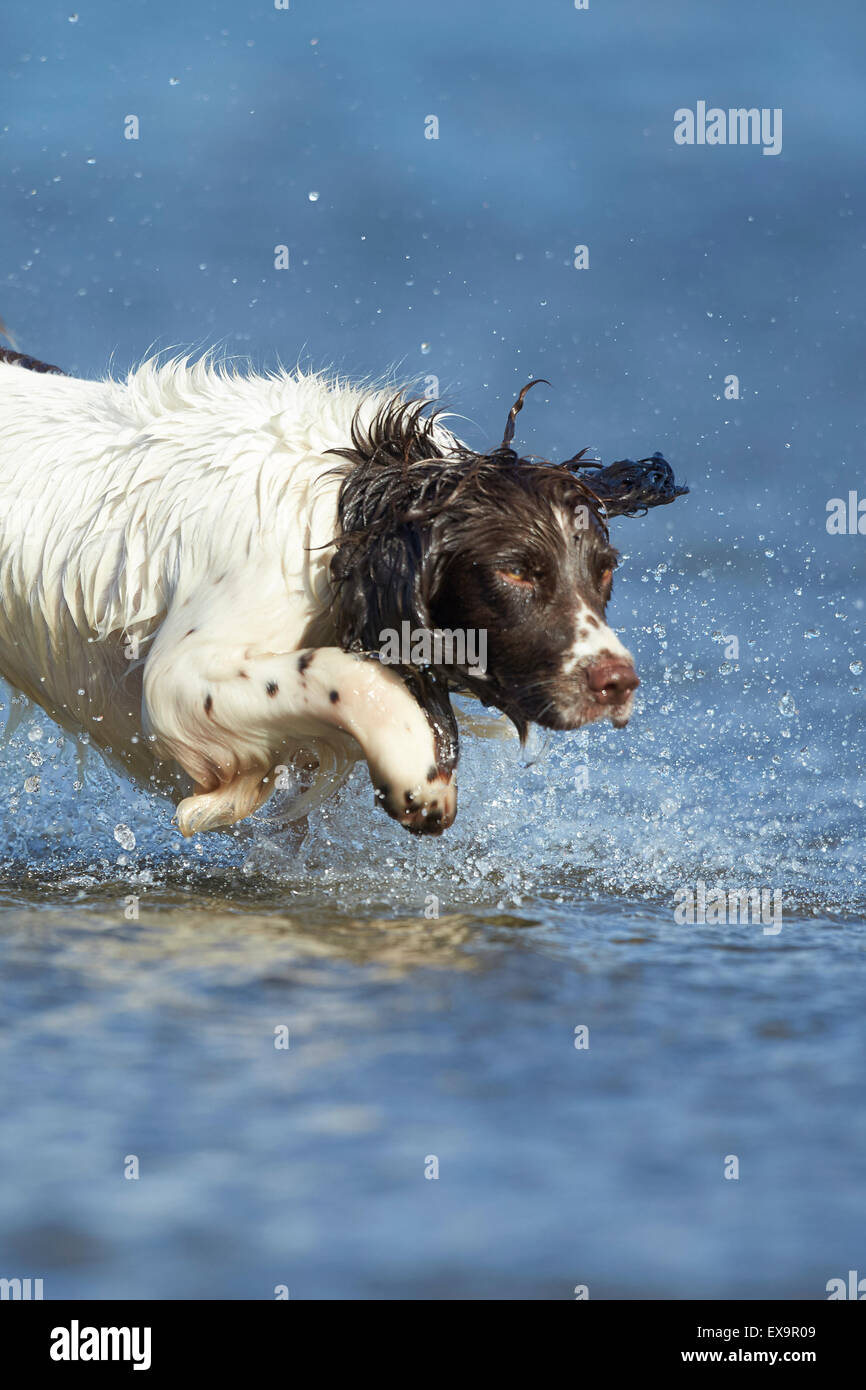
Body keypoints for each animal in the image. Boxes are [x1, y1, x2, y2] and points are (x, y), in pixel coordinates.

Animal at [0, 353, 692, 839]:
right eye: (517, 572)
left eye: (605, 570)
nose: (617, 682)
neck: (344, 515)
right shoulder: (174, 685)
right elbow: (344, 674)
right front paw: (415, 769)